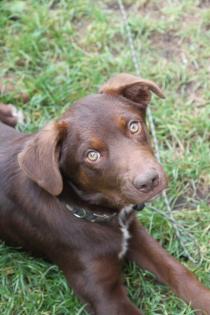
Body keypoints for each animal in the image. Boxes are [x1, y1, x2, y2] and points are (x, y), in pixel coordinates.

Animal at [0, 74, 210, 315]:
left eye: (134, 126)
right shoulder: (103, 294)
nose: (149, 180)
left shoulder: (136, 235)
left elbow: (178, 271)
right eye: (92, 155)